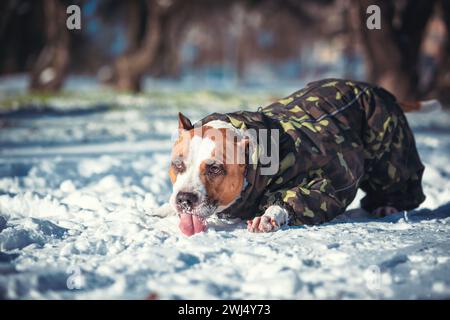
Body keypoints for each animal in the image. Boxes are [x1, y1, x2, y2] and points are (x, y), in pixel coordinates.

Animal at [154, 79, 440, 236]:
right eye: (177, 165)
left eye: (214, 169)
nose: (184, 199)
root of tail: (378, 89)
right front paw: (163, 209)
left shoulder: (320, 184)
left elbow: (296, 198)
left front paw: (269, 216)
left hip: (389, 147)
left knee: (400, 178)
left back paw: (388, 205)